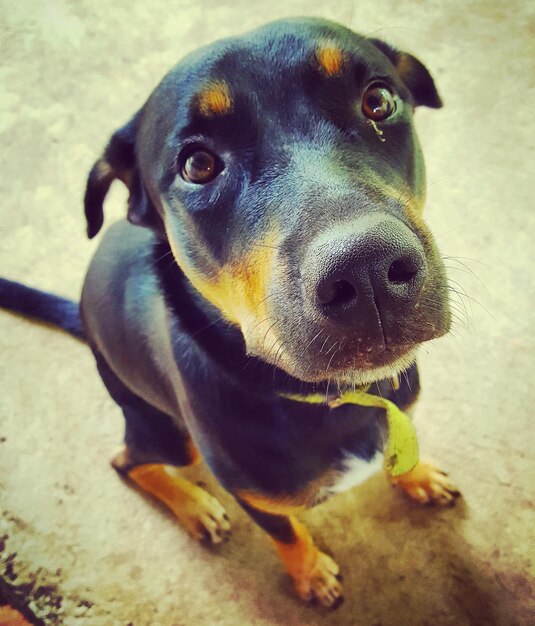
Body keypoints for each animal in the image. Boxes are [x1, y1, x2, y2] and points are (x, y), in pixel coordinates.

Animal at [0, 18, 460, 604]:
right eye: (197, 165)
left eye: (378, 100)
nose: (368, 270)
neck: (331, 398)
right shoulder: (253, 495)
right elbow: (286, 533)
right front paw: (310, 573)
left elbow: (403, 446)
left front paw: (417, 475)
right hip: (169, 433)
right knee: (126, 460)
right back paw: (195, 507)